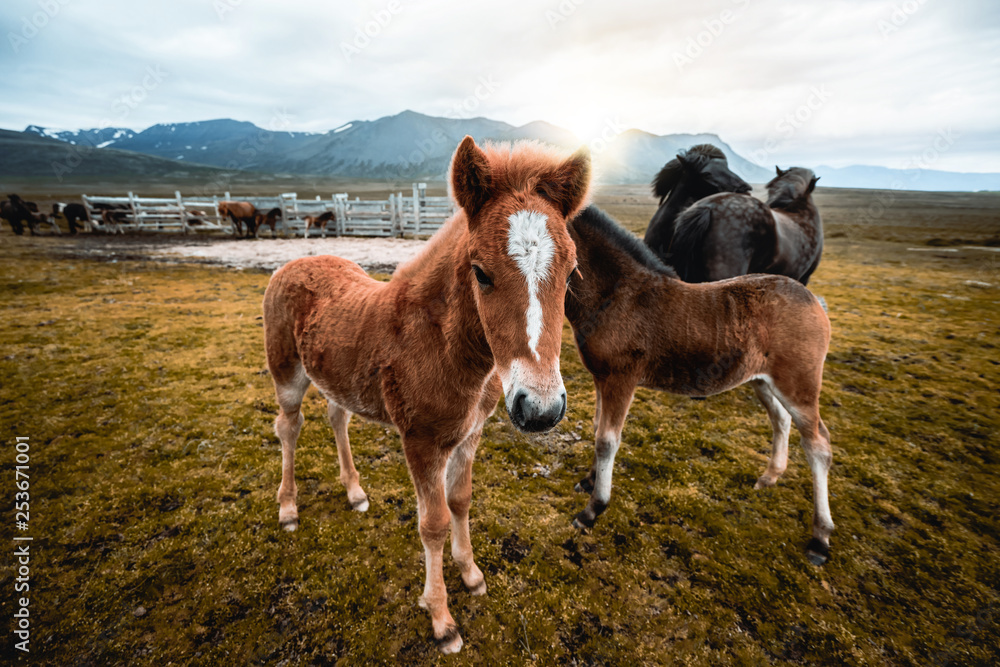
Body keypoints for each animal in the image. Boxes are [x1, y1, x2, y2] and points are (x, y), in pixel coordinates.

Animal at [262, 138, 588, 656]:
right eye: (481, 272)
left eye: (572, 271)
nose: (540, 409)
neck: (445, 347)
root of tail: (294, 263)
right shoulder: (420, 441)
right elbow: (431, 524)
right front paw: (442, 619)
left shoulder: (469, 435)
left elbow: (461, 501)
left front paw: (471, 574)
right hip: (287, 375)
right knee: (289, 428)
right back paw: (288, 509)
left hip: (336, 377)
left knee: (337, 417)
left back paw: (355, 492)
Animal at [564, 206, 836, 568]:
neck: (617, 295)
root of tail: (814, 301)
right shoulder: (601, 378)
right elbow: (597, 429)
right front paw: (589, 481)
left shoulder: (621, 379)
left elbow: (607, 441)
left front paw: (592, 510)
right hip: (762, 380)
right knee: (781, 419)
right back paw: (770, 476)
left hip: (798, 384)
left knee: (818, 445)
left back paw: (820, 538)